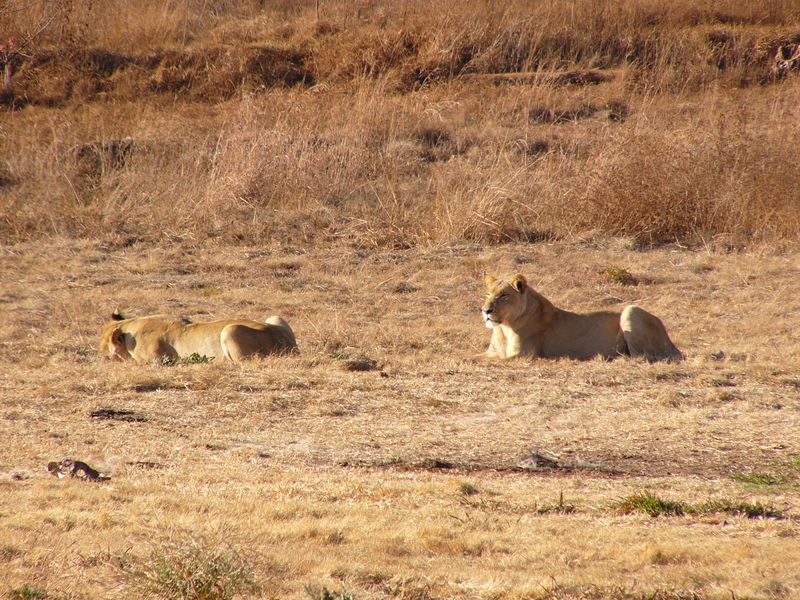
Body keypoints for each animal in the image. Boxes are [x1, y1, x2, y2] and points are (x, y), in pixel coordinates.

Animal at [482, 276, 680, 360]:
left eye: (503, 296)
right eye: (488, 294)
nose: (485, 310)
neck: (504, 327)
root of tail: (674, 345)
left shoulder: (524, 354)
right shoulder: (491, 352)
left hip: (631, 310)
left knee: (641, 355)